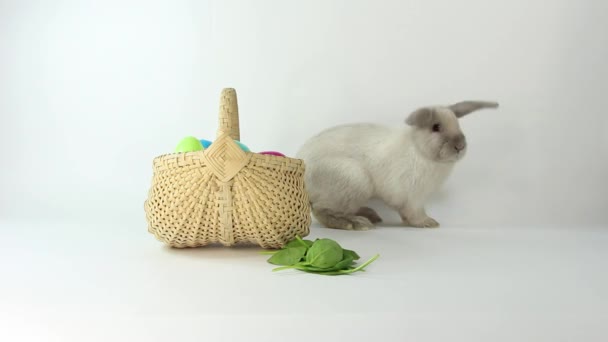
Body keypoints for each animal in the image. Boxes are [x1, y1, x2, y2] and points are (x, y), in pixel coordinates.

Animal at [296, 101, 498, 230]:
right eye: (436, 127)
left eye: (458, 124)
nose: (460, 146)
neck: (419, 149)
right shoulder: (414, 197)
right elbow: (414, 212)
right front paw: (428, 223)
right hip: (354, 180)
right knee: (321, 210)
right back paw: (356, 223)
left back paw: (370, 214)